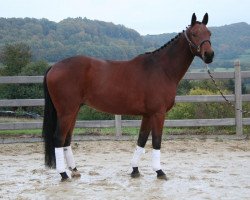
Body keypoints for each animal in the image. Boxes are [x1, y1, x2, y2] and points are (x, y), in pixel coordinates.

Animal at [42, 12, 213, 181]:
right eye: (194, 33)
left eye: (209, 33)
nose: (209, 55)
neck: (162, 70)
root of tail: (54, 67)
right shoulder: (158, 113)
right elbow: (156, 141)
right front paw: (159, 171)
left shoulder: (148, 115)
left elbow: (142, 140)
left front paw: (135, 170)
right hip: (66, 112)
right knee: (58, 138)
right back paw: (63, 174)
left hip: (74, 110)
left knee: (67, 138)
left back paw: (74, 170)